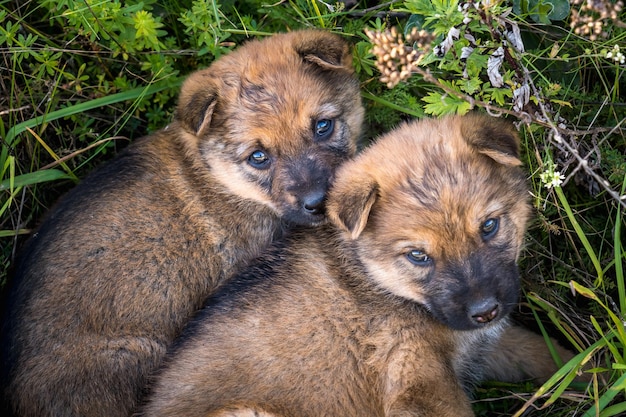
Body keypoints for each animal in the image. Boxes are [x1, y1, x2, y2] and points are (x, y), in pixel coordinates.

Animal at [138, 114, 560, 416]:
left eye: (489, 226)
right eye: (418, 256)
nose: (485, 311)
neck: (381, 283)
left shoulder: (488, 345)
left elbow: (543, 354)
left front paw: (580, 365)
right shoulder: (417, 382)